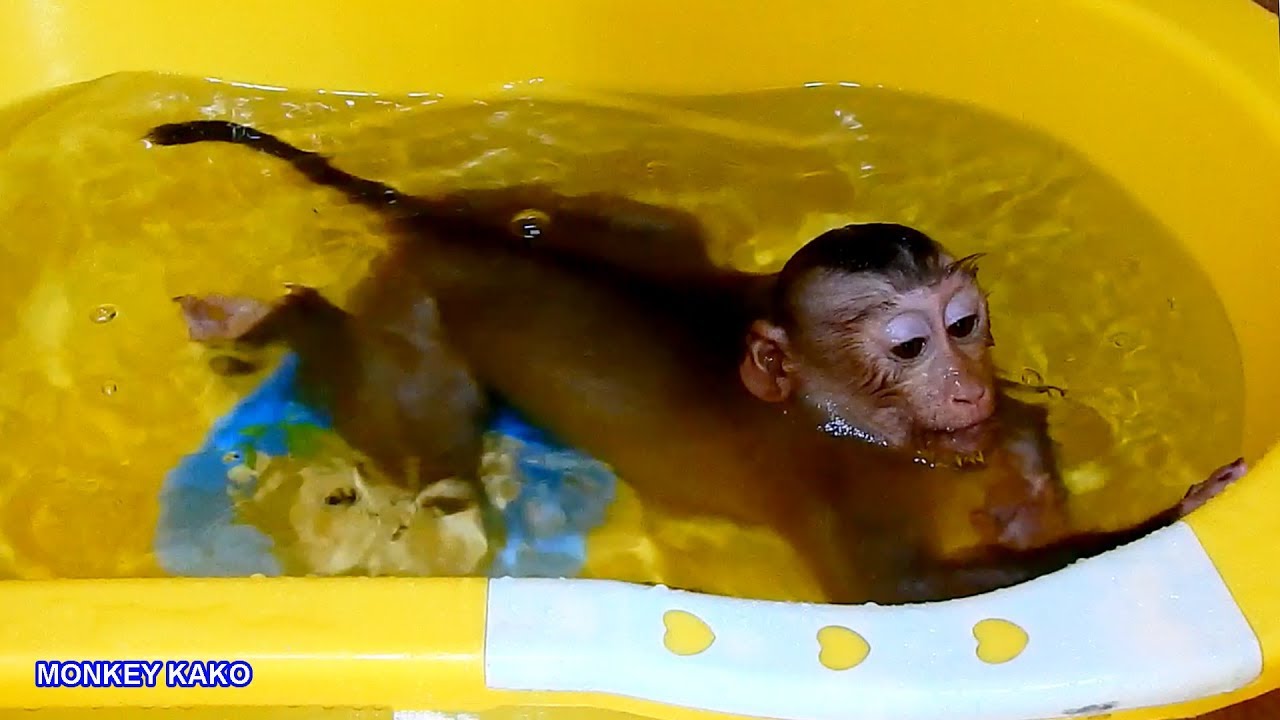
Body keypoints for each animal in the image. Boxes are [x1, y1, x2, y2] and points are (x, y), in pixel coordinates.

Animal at [148, 119, 1248, 604]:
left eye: (966, 323)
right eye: (907, 344)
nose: (961, 377)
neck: (838, 412)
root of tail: (447, 222)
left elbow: (1013, 422)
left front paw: (1023, 487)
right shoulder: (826, 474)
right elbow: (893, 595)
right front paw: (1176, 510)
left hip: (558, 212)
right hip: (412, 326)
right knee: (425, 439)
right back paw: (274, 316)